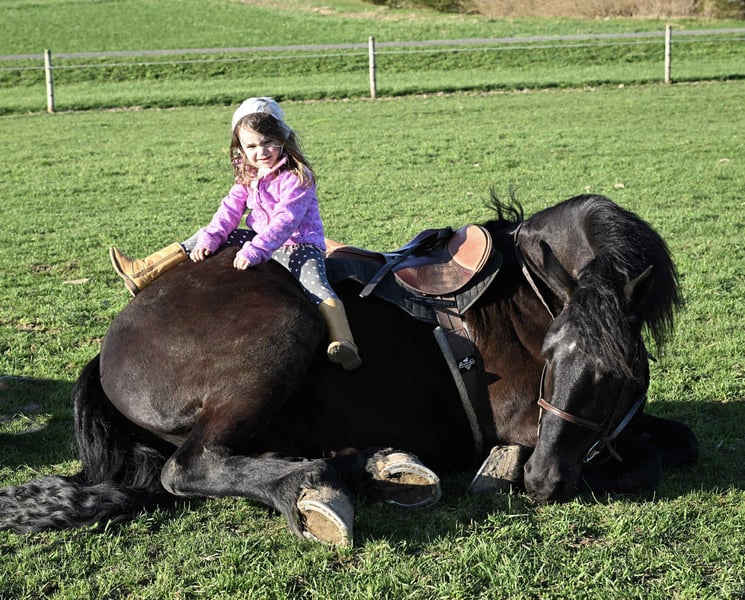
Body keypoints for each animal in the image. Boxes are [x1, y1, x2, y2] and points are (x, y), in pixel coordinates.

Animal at [0, 194, 698, 545]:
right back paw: (313, 487)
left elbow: (677, 439)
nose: (544, 482)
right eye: (551, 355)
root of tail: (108, 348)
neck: (530, 293)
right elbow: (642, 458)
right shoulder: (531, 423)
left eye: (617, 372)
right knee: (188, 469)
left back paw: (381, 465)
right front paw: (507, 468)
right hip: (282, 334)